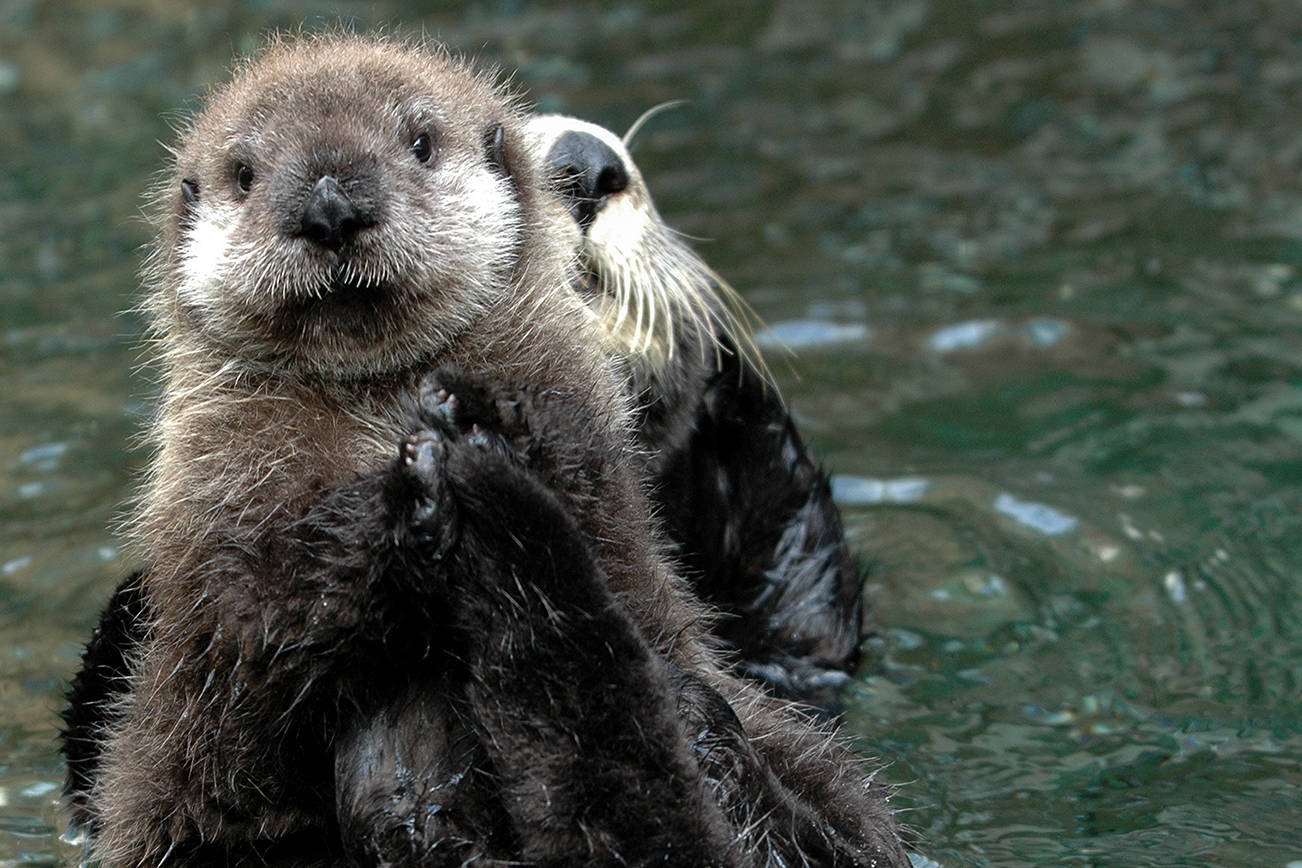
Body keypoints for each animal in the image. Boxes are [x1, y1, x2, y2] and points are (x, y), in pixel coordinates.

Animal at [63, 35, 907, 866]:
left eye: (421, 142)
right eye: (244, 175)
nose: (330, 205)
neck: (378, 403)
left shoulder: (581, 433)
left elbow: (596, 490)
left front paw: (477, 430)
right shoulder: (224, 505)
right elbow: (274, 589)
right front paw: (400, 497)